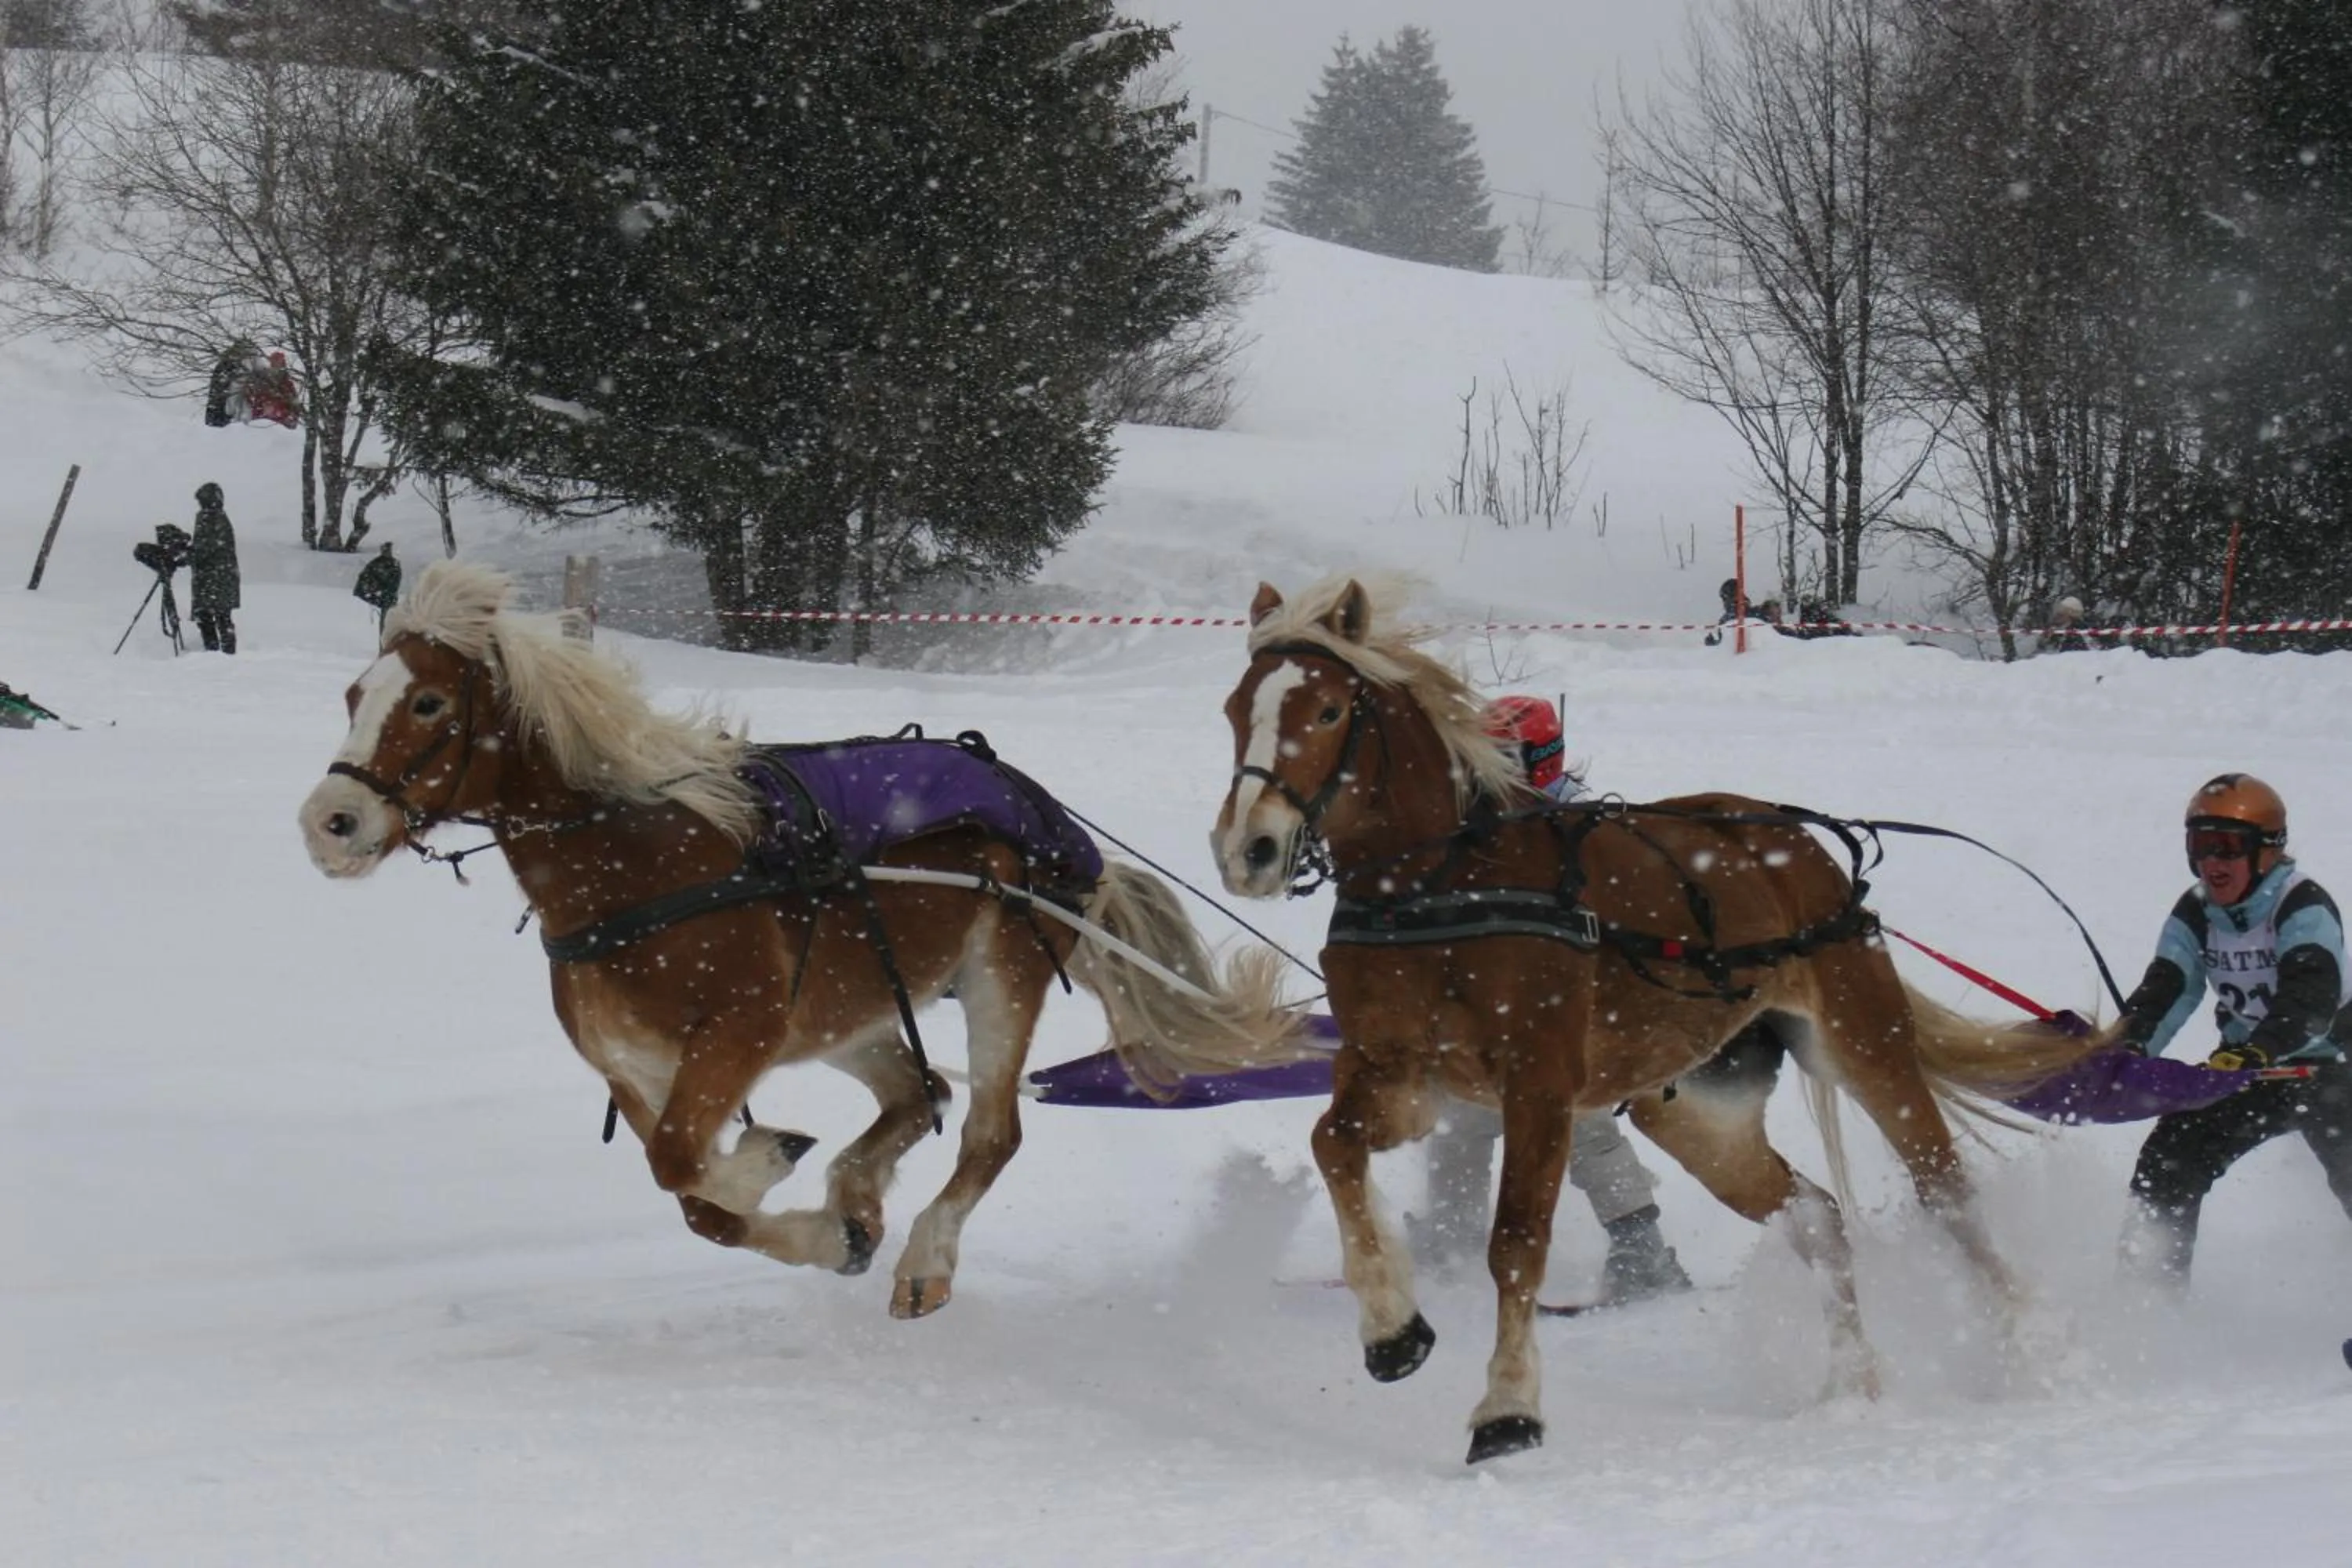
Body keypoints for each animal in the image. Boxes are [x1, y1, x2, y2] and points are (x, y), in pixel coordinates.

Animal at [297, 561, 1301, 1318]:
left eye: (429, 703)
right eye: (351, 694)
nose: (330, 821)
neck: (638, 868)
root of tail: (1055, 826)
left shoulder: (736, 1035)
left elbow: (683, 1164)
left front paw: (768, 1169)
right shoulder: (633, 1066)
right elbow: (690, 1197)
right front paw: (825, 1226)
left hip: (997, 979)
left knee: (988, 1131)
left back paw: (923, 1257)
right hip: (847, 1011)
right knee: (921, 1092)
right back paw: (855, 1193)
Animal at [1208, 576, 2104, 1463]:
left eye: (1327, 711)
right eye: (1235, 707)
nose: (1248, 849)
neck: (1440, 885)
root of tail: (1796, 841)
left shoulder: (1538, 1086)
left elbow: (1516, 1243)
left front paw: (1508, 1407)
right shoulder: (1403, 1073)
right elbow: (1334, 1144)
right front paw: (1392, 1326)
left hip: (1863, 1041)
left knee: (1946, 1193)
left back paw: (2026, 1350)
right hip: (1699, 1112)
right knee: (1815, 1215)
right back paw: (1853, 1382)